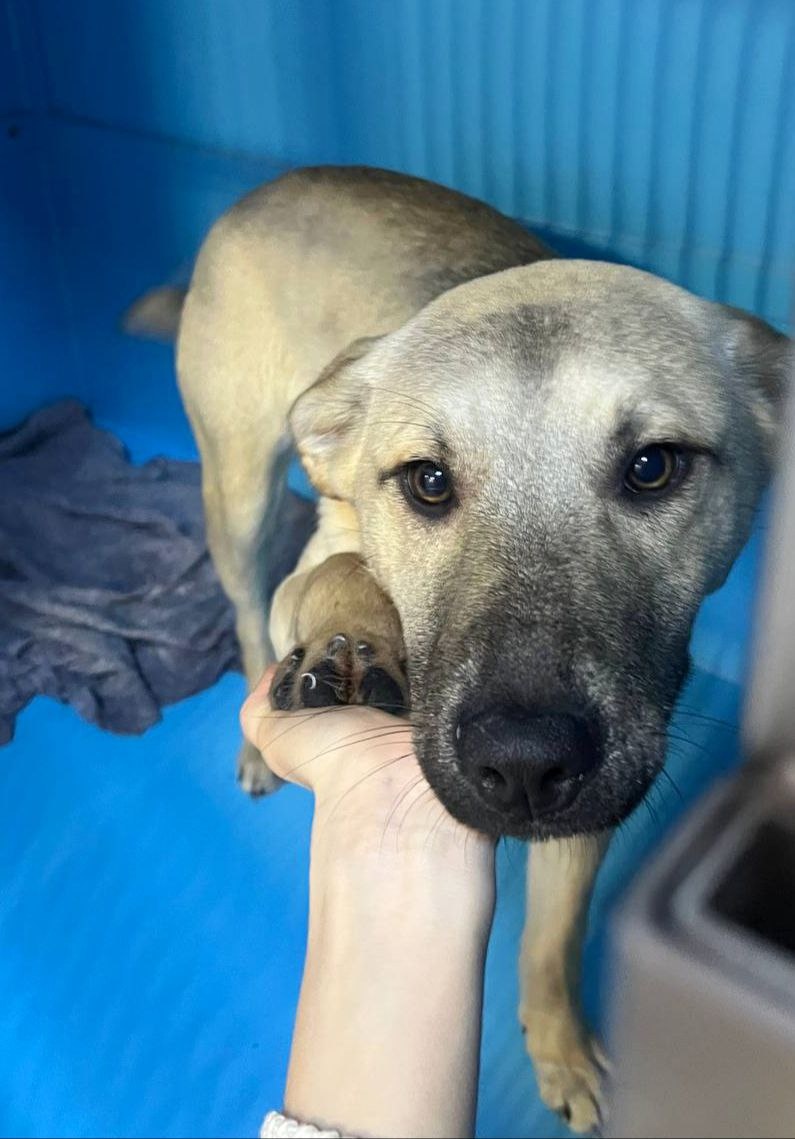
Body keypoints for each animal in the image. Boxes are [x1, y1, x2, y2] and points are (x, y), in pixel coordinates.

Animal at [129, 166, 789, 1131]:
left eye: (652, 467)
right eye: (427, 481)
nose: (521, 764)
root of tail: (269, 185)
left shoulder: (603, 790)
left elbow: (552, 936)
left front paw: (558, 1046)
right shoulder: (317, 562)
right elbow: (339, 578)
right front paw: (354, 644)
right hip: (238, 490)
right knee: (247, 611)